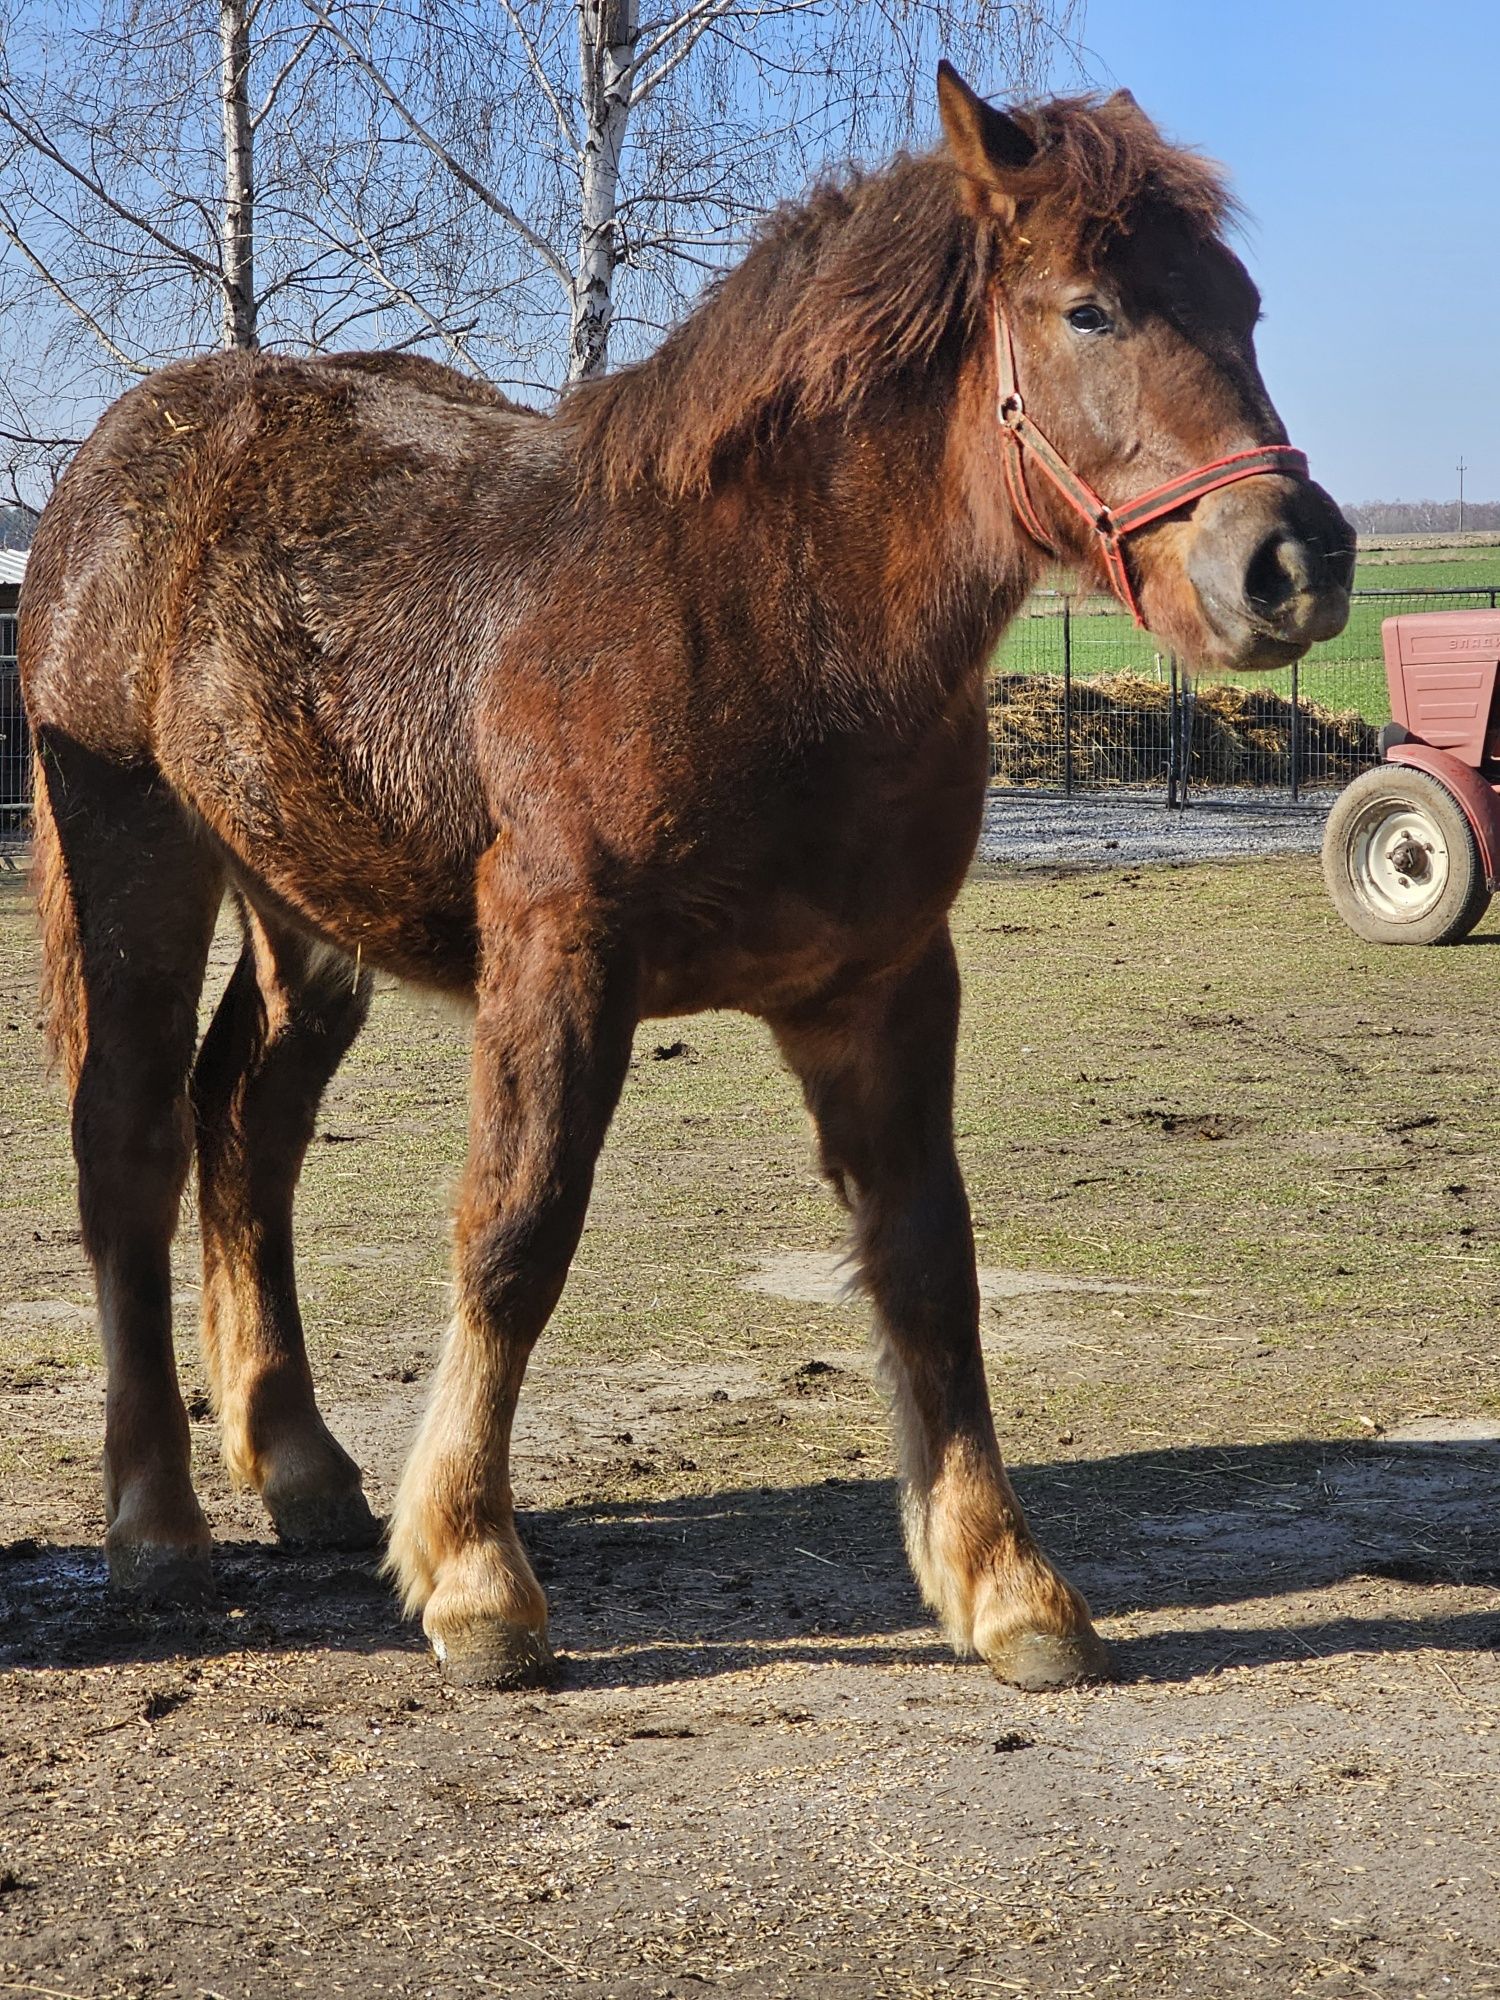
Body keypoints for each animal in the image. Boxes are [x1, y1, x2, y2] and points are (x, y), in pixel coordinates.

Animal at [17, 66, 1360, 1688]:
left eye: (1242, 305)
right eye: (1089, 309)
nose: (1294, 561)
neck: (763, 617)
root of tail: (110, 461)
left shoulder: (886, 983)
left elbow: (929, 1259)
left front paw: (1005, 1585)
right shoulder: (561, 951)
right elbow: (517, 1229)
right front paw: (475, 1576)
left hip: (306, 912)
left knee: (245, 1126)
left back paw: (302, 1470)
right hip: (134, 858)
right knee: (129, 1143)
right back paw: (155, 1526)